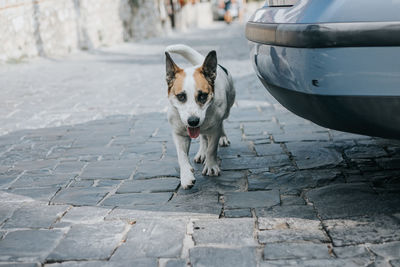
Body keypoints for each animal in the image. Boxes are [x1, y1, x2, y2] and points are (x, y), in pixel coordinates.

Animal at [165, 44, 236, 189]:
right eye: (181, 96)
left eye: (203, 96)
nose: (193, 121)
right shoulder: (179, 133)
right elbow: (181, 155)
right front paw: (186, 175)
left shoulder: (214, 129)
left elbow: (212, 148)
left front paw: (211, 166)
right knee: (203, 137)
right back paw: (201, 152)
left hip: (227, 109)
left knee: (222, 122)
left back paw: (223, 138)